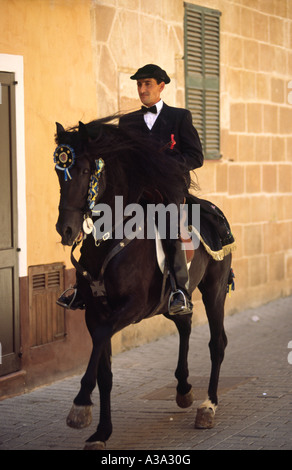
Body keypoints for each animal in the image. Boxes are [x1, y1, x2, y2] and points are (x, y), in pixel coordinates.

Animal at [54, 116, 234, 448]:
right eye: (59, 172)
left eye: (84, 170)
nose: (66, 230)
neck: (109, 238)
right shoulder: (94, 311)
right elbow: (105, 372)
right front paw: (101, 431)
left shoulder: (130, 308)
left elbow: (101, 340)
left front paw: (80, 405)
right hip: (173, 299)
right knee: (185, 324)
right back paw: (184, 389)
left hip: (214, 290)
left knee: (217, 343)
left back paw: (208, 406)